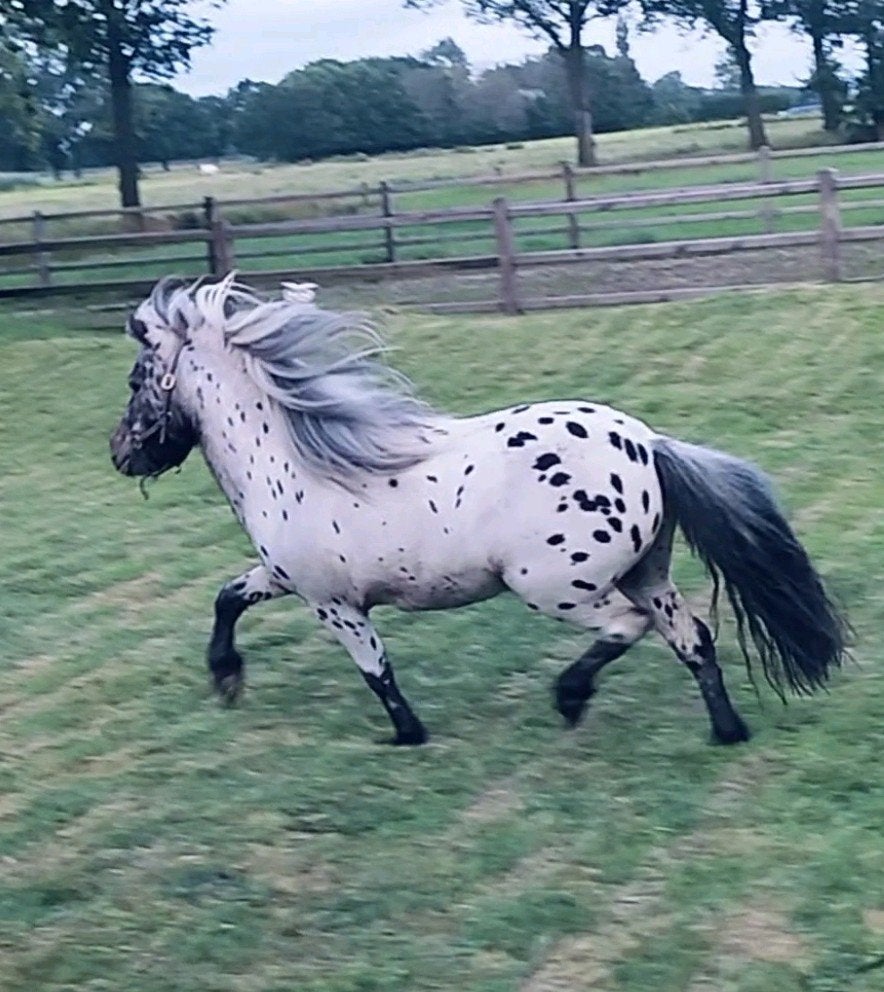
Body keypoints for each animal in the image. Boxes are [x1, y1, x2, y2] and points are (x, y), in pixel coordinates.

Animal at [109, 274, 848, 747]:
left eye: (136, 378)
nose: (120, 453)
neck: (293, 463)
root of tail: (648, 444)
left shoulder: (331, 603)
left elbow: (375, 669)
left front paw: (406, 736)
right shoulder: (283, 577)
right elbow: (228, 596)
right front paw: (226, 679)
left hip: (559, 586)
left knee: (627, 627)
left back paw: (569, 698)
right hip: (648, 571)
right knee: (692, 639)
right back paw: (728, 733)